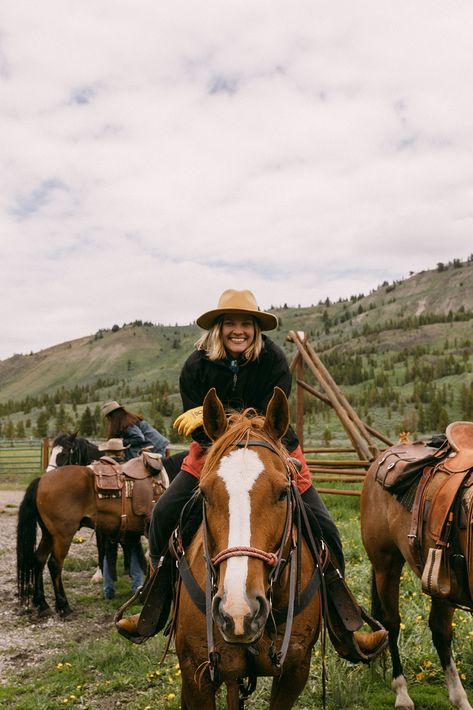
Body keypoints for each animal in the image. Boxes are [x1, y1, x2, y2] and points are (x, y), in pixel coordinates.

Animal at [360, 428, 470, 710]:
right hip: (386, 564)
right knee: (391, 623)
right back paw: (402, 694)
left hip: (443, 580)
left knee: (440, 631)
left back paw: (459, 698)